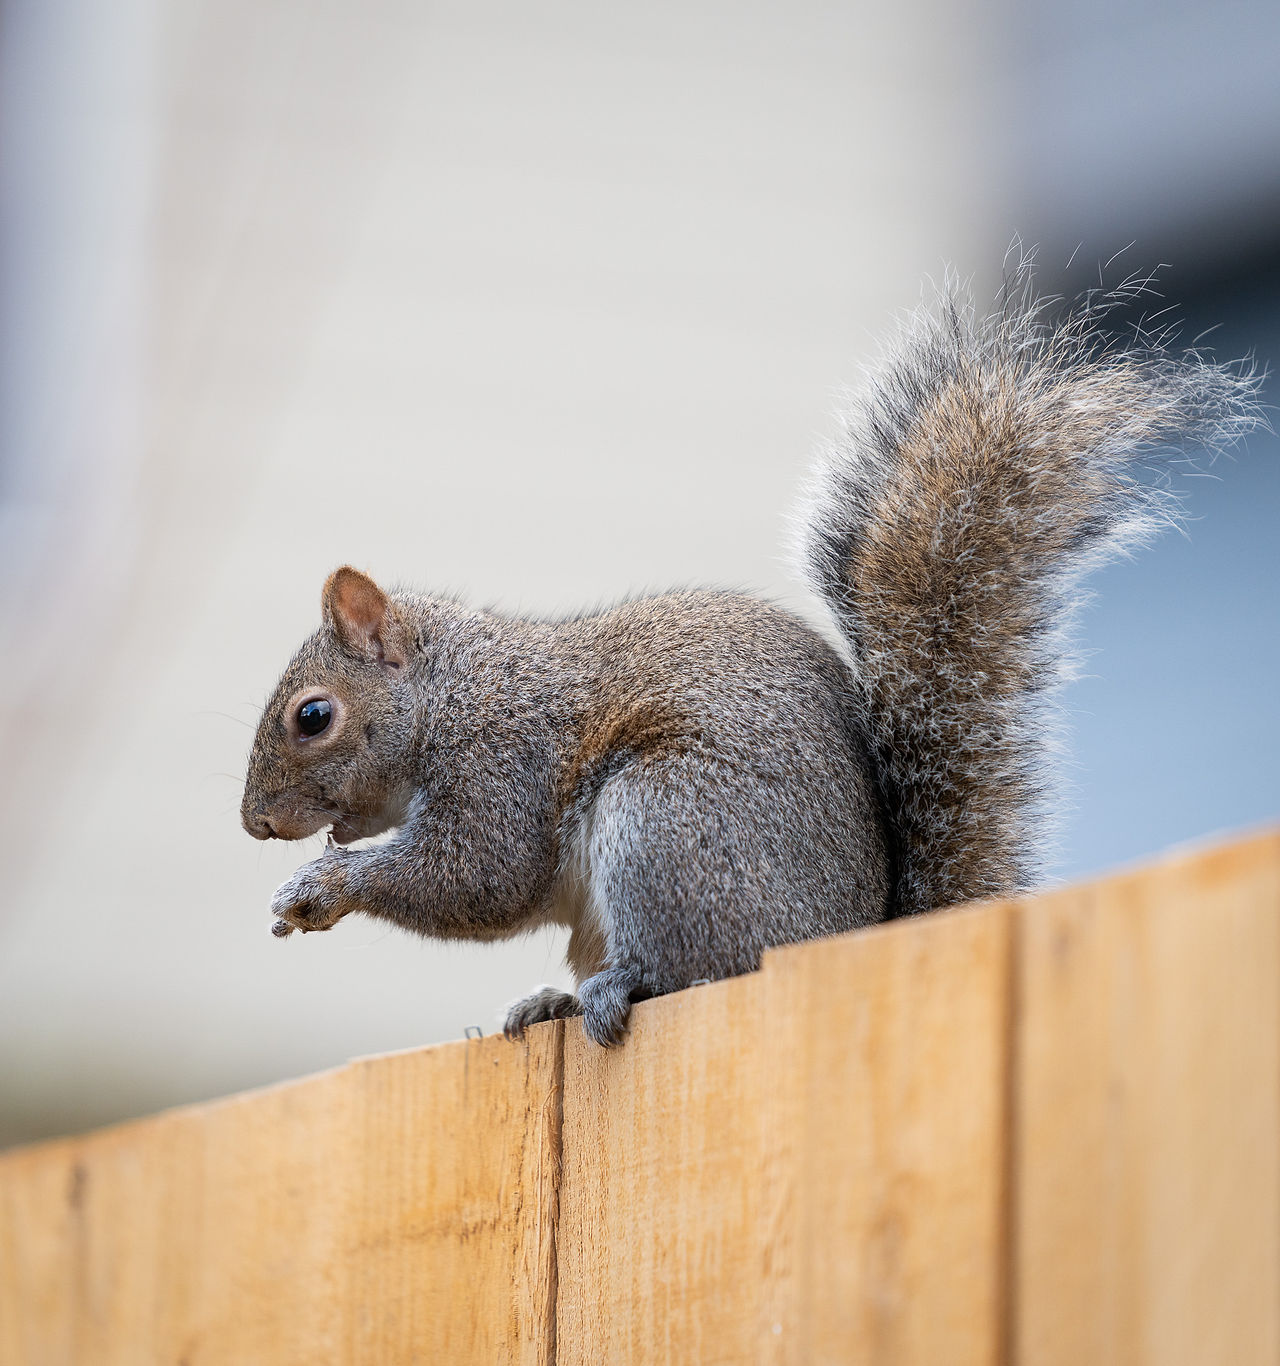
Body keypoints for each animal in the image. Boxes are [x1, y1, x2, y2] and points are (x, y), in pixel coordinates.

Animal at [241, 268, 1262, 1046]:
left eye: (313, 716)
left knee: (700, 971)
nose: (256, 825)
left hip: (669, 823)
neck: (454, 691)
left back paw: (617, 990)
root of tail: (850, 934)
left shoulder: (505, 761)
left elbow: (478, 877)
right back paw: (553, 1001)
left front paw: (322, 886)